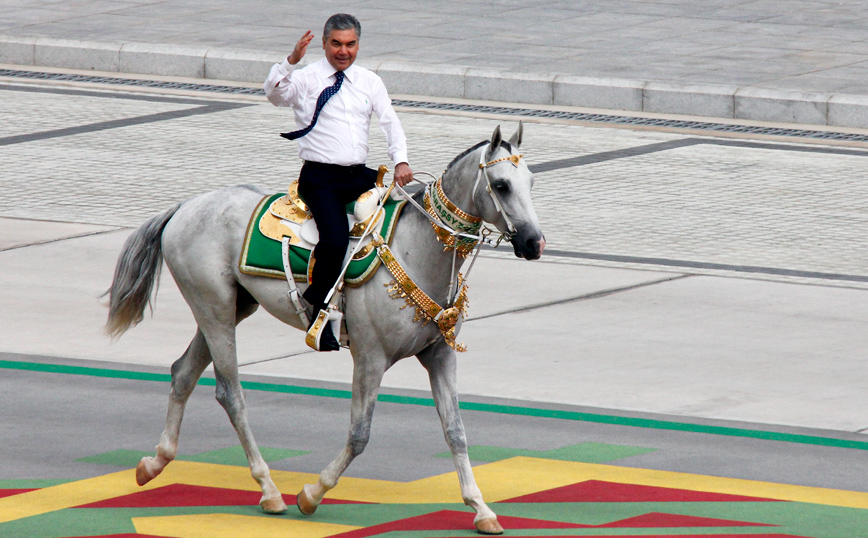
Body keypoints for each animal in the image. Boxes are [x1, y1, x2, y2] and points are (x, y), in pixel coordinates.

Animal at [107, 122, 544, 532]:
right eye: (501, 185)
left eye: (531, 182)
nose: (534, 243)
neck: (417, 249)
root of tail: (185, 206)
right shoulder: (370, 359)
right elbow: (359, 434)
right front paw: (312, 494)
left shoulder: (439, 355)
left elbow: (456, 430)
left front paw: (481, 509)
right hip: (213, 309)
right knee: (230, 393)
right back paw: (268, 490)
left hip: (229, 307)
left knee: (182, 373)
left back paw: (155, 463)